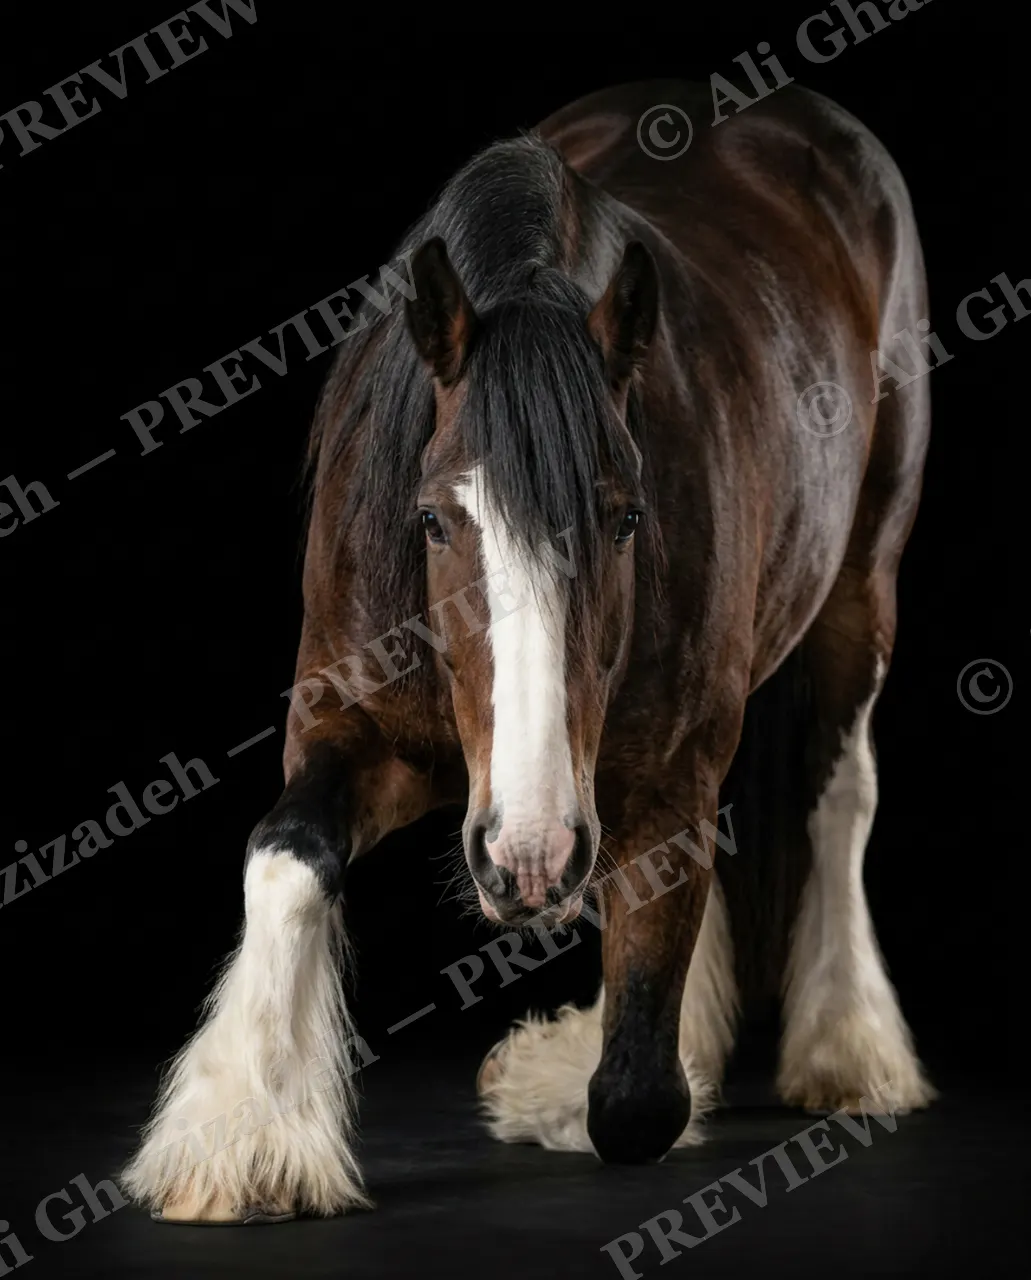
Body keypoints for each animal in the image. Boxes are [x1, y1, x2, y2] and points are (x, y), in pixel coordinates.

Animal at [122, 78, 935, 1224]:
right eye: (431, 520)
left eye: (628, 516)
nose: (531, 854)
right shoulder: (350, 726)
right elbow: (287, 854)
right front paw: (242, 1132)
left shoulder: (662, 779)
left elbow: (632, 1098)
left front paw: (561, 1080)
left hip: (863, 577)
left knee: (839, 786)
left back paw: (846, 1046)